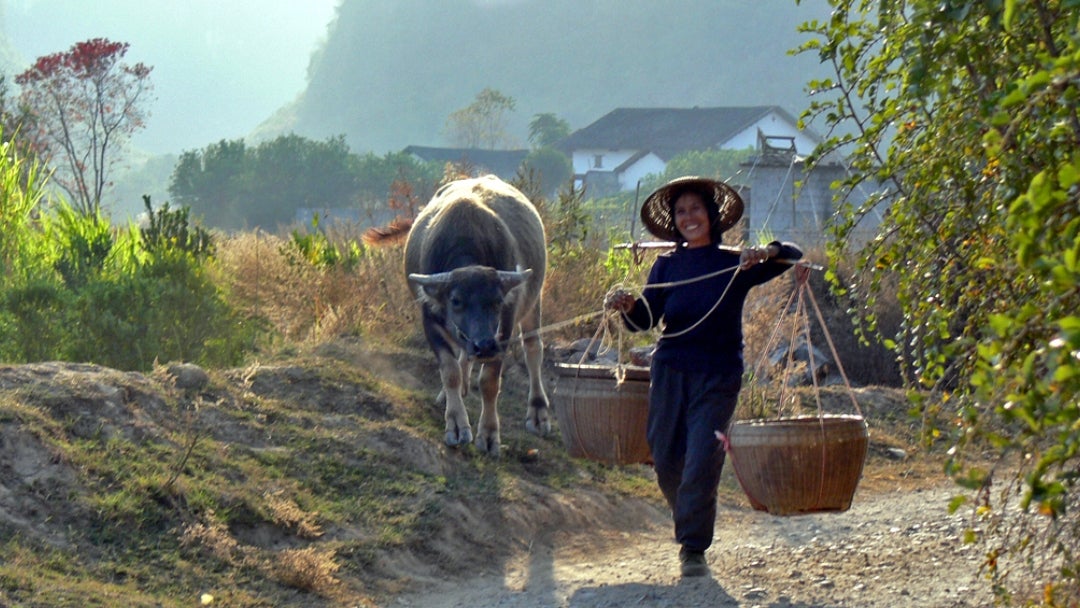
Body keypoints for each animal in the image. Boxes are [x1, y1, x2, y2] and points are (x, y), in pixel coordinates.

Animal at [408, 173, 552, 453]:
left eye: (497, 301)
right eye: (455, 301)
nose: (485, 345)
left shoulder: (503, 331)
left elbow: (489, 382)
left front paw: (488, 435)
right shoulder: (429, 321)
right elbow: (450, 371)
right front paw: (456, 424)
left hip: (534, 302)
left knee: (533, 350)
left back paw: (538, 412)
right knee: (463, 356)